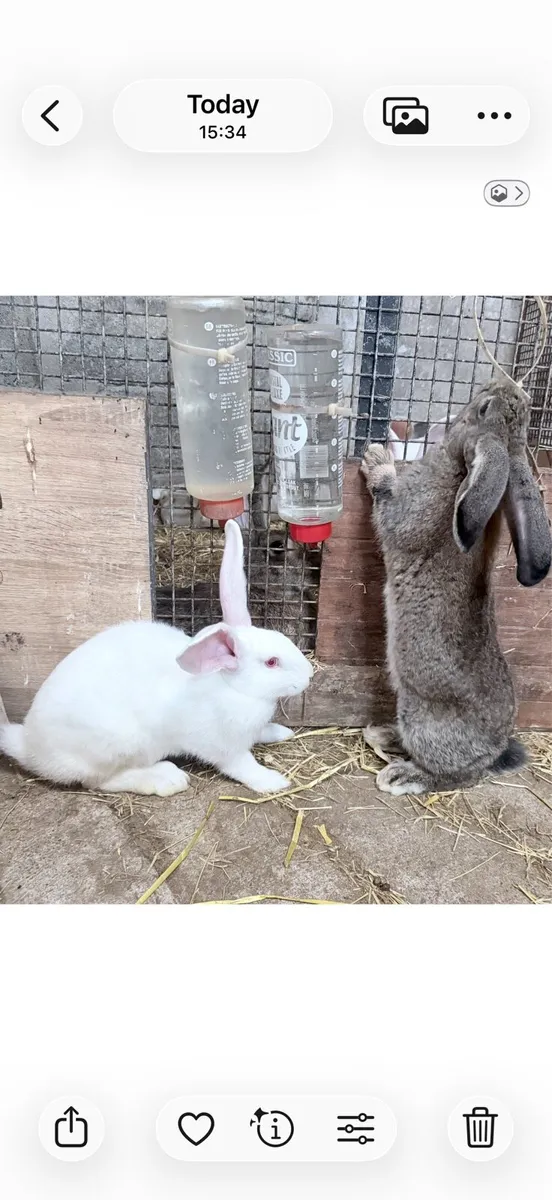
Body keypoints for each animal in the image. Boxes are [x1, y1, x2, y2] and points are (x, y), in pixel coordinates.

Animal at [0, 521, 313, 798]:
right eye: (272, 662)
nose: (309, 675)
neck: (233, 688)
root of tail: (28, 746)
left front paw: (280, 732)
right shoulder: (222, 747)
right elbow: (241, 765)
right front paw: (272, 781)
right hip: (119, 746)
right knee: (100, 782)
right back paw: (166, 779)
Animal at [360, 380, 552, 796]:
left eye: (482, 408)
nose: (495, 384)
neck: (460, 468)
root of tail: (491, 752)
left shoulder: (409, 510)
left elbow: (388, 502)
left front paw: (376, 458)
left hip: (419, 714)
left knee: (452, 776)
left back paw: (402, 775)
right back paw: (384, 736)